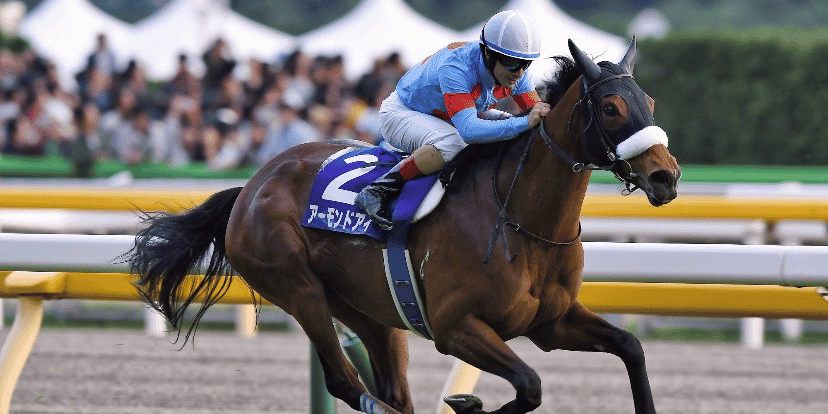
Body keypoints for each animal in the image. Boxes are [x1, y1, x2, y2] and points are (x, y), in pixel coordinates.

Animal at [129, 38, 680, 414]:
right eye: (610, 108)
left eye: (650, 103)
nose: (666, 176)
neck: (521, 222)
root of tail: (251, 184)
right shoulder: (456, 328)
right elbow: (529, 386)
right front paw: (467, 404)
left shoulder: (550, 322)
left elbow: (631, 348)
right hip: (298, 287)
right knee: (346, 381)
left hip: (370, 309)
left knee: (390, 385)